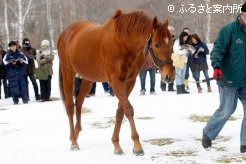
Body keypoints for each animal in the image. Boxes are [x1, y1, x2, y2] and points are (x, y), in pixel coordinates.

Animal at [56, 9, 174, 156]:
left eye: (171, 43)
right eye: (156, 44)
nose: (169, 76)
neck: (123, 43)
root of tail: (65, 33)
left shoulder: (129, 81)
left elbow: (120, 111)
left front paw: (116, 144)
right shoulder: (115, 81)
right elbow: (128, 109)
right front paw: (137, 146)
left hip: (88, 79)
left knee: (78, 102)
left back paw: (77, 134)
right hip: (68, 74)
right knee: (70, 106)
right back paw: (73, 141)